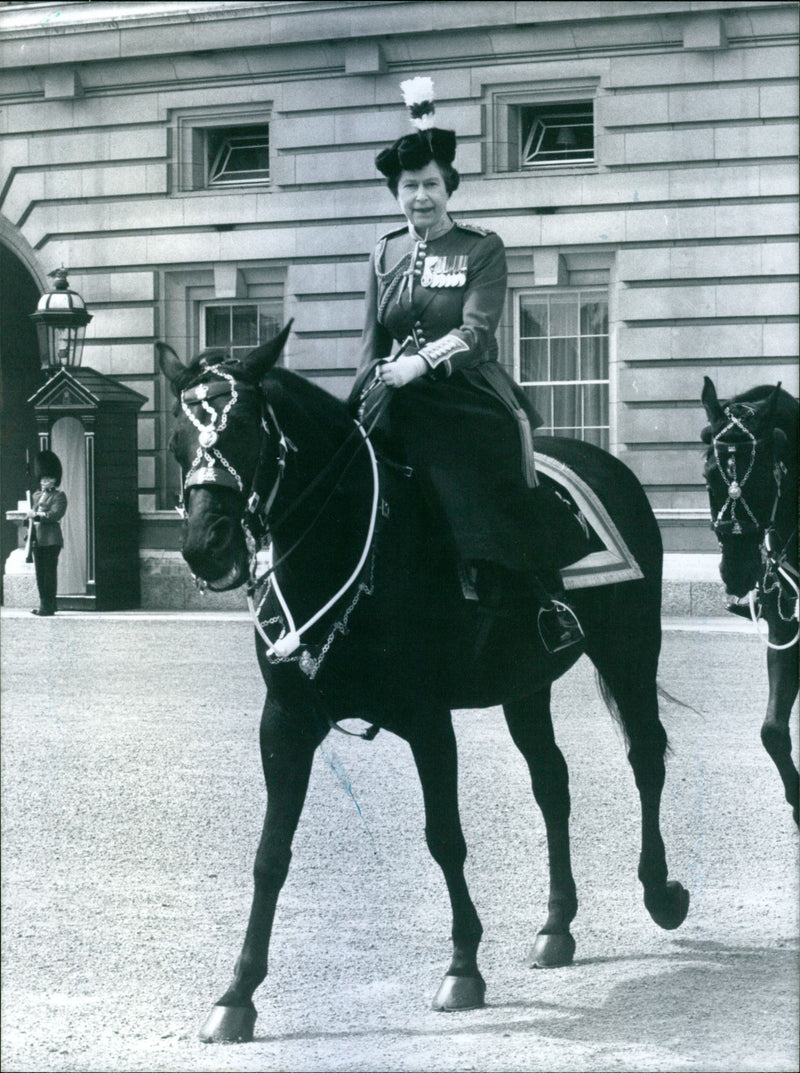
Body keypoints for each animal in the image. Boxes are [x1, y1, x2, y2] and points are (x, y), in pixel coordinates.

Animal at [157, 328, 686, 1047]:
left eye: (242, 429)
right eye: (177, 439)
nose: (205, 546)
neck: (349, 542)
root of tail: (607, 464)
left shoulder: (428, 719)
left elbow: (445, 838)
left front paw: (463, 966)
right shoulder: (286, 720)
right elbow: (271, 855)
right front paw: (237, 994)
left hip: (629, 648)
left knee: (645, 757)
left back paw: (660, 892)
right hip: (526, 684)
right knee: (552, 782)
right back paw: (556, 925)